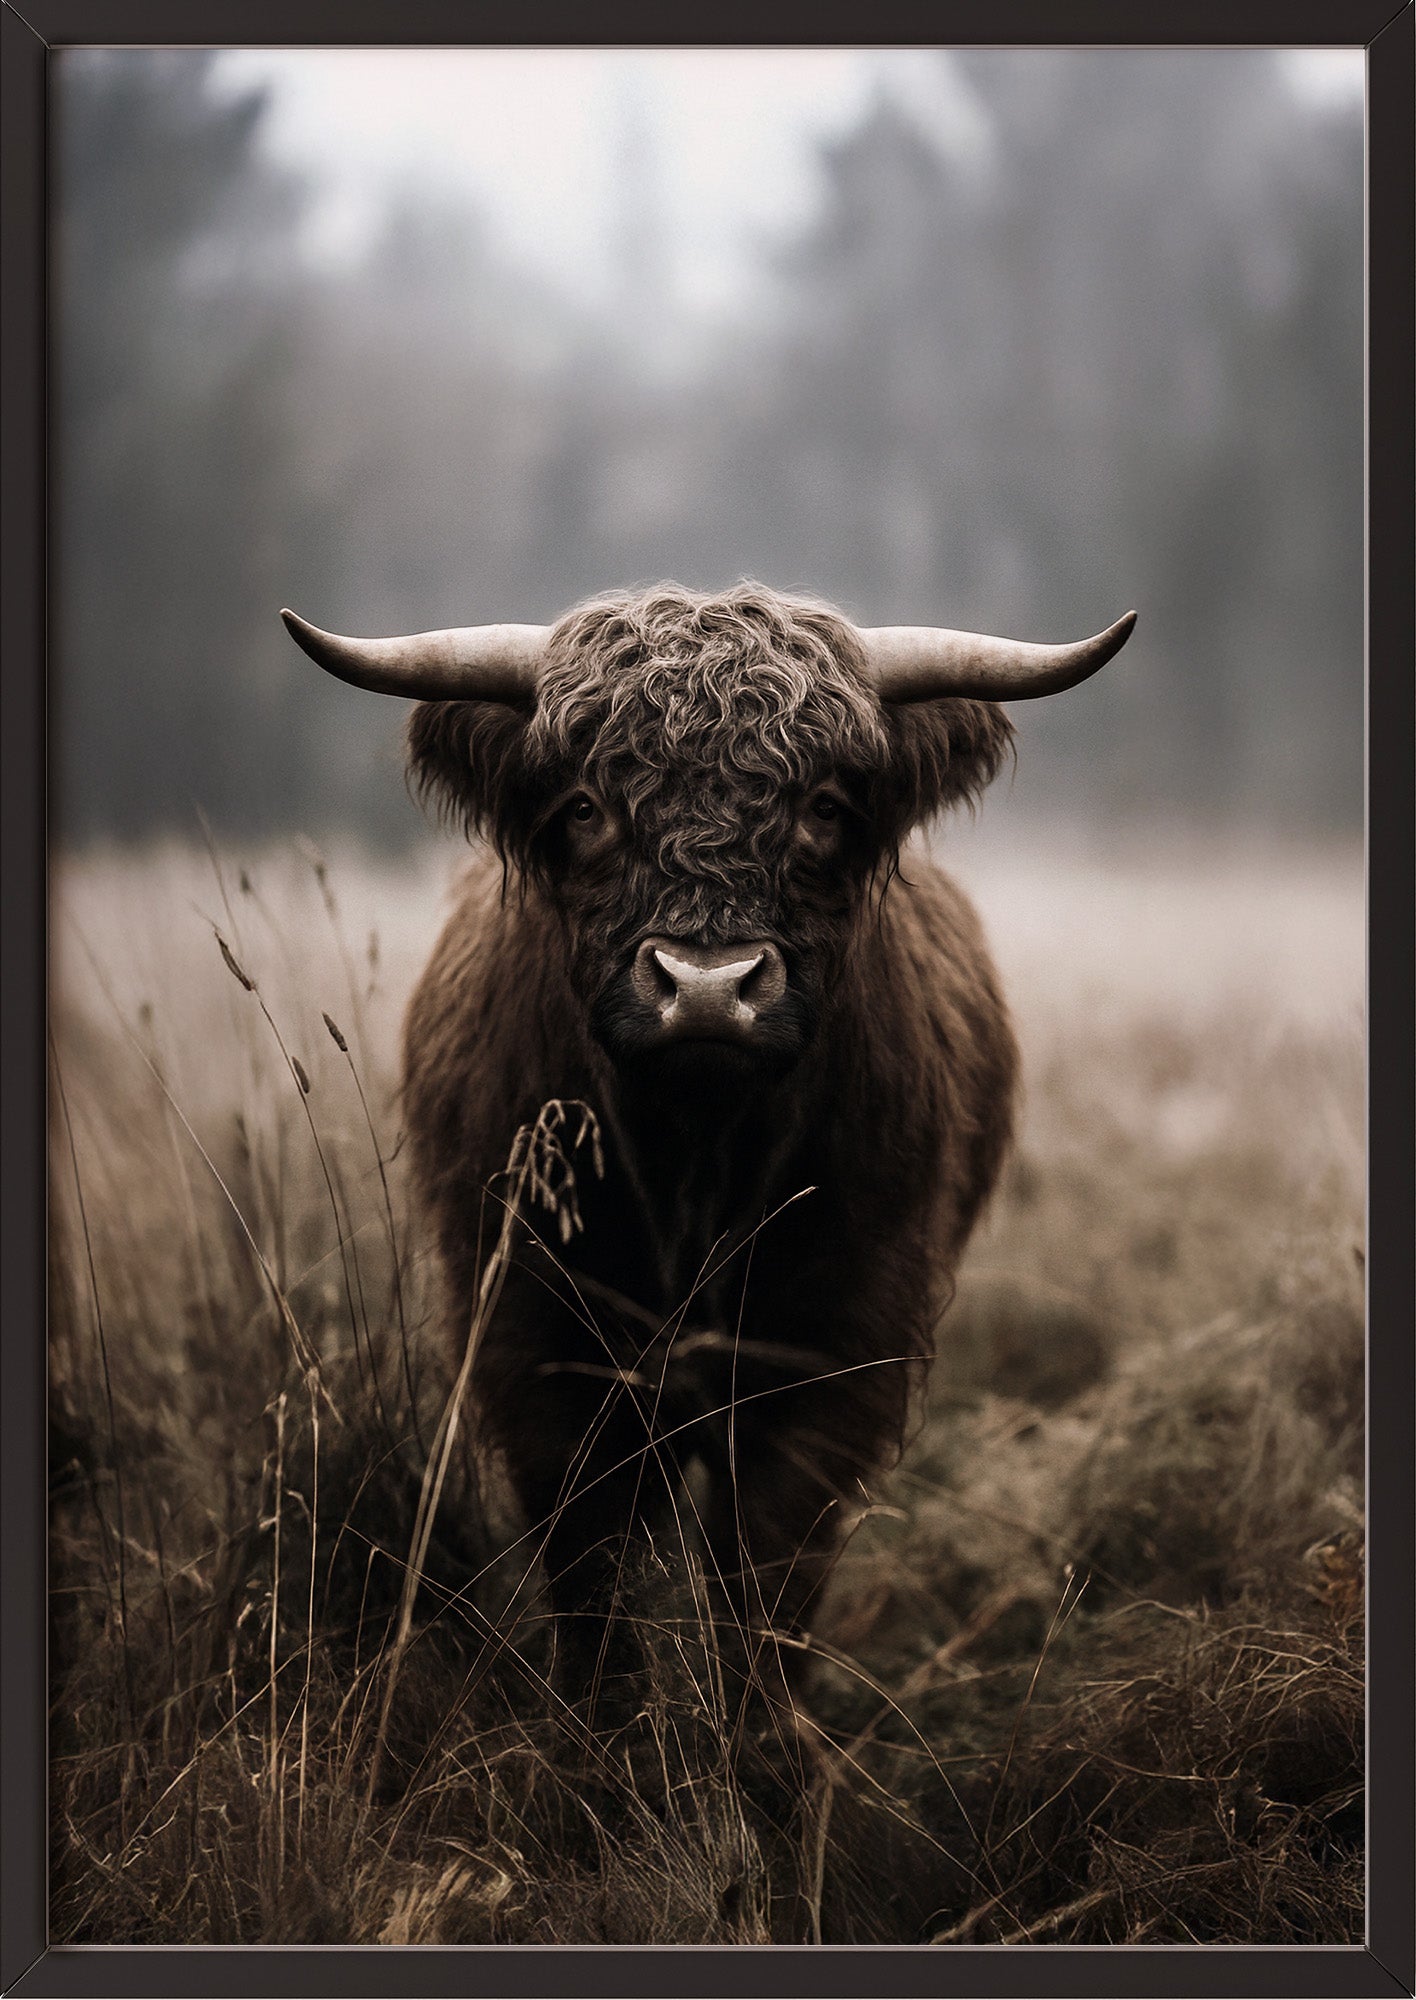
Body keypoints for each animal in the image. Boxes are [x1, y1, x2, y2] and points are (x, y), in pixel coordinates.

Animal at [282, 582, 1135, 1734]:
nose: (706, 987)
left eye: (824, 806)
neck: (690, 1158)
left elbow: (765, 1583)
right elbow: (592, 1580)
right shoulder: (534, 1353)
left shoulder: (828, 1356)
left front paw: (762, 1756)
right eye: (587, 807)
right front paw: (599, 1754)